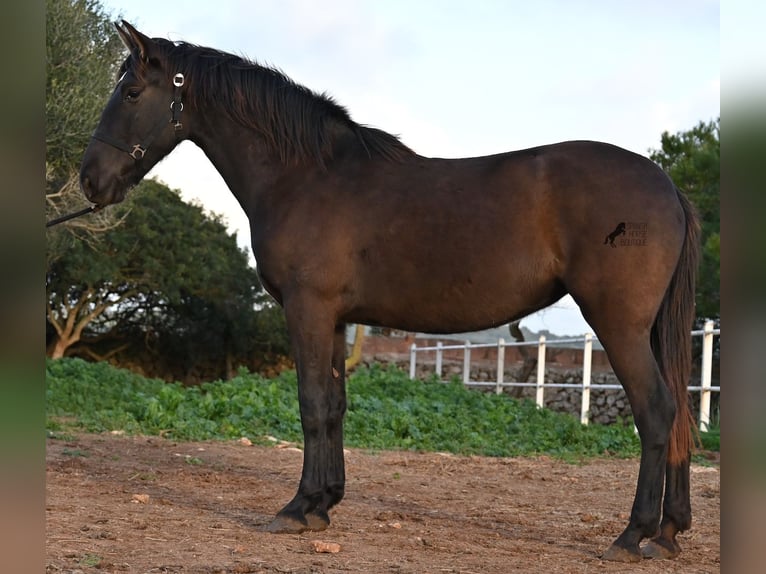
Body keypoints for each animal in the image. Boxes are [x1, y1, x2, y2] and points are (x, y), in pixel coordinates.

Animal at [79, 21, 704, 564]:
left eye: (131, 91)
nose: (90, 181)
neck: (308, 174)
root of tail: (667, 185)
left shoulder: (308, 310)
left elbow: (310, 404)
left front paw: (294, 509)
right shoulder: (335, 318)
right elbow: (334, 405)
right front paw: (321, 504)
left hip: (618, 323)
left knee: (656, 409)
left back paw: (632, 536)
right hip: (650, 328)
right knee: (678, 410)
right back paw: (669, 533)